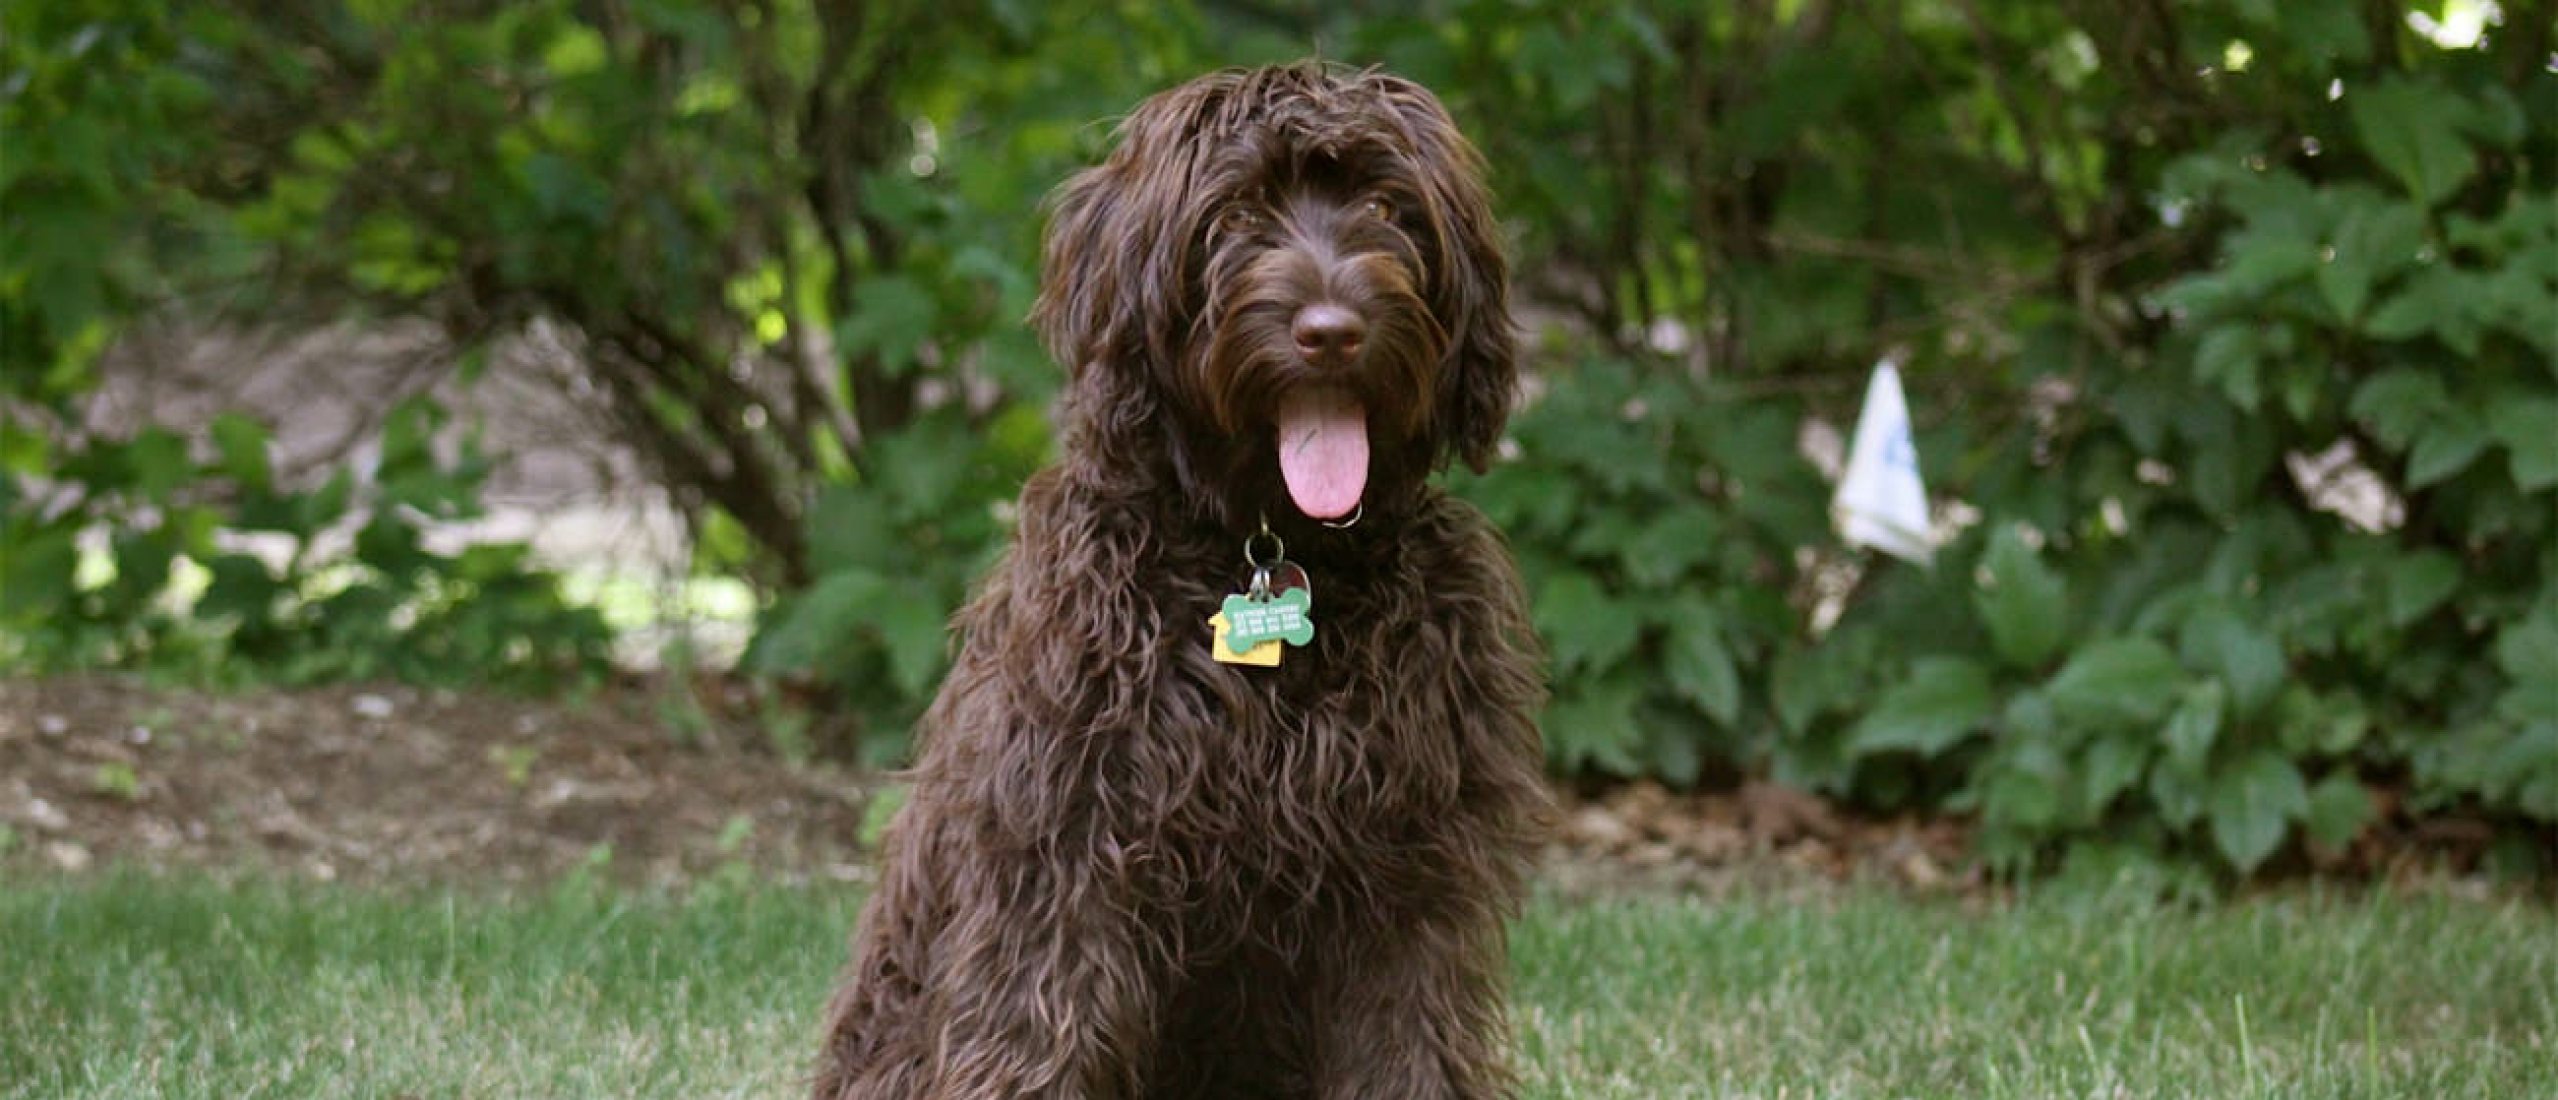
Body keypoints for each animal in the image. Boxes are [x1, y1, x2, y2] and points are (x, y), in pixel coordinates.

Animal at [808, 62, 1545, 1100]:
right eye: (1234, 212)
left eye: (1384, 206)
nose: (1332, 331)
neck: (1274, 546)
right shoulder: (1063, 850)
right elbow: (1034, 1027)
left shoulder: (1411, 871)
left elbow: (1411, 1041)